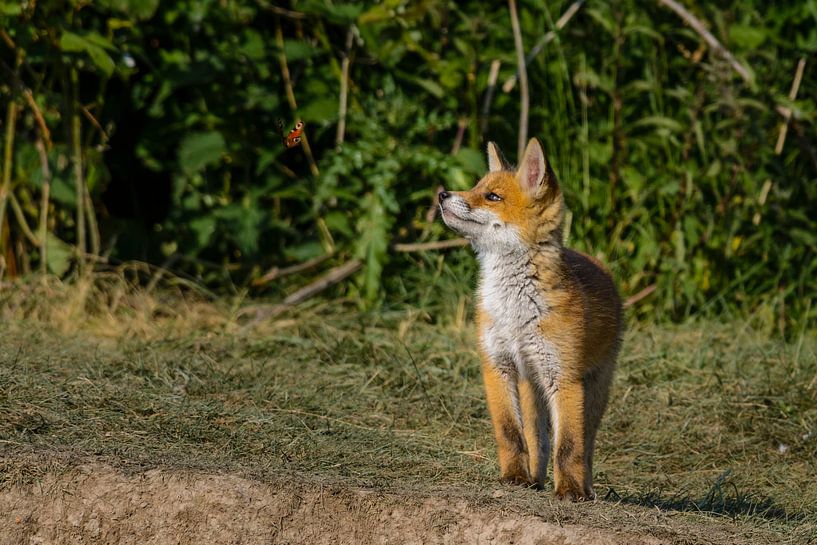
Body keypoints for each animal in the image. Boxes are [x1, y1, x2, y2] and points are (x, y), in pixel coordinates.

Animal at [438, 138, 622, 501]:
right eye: (475, 187)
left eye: (492, 197)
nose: (442, 194)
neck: (515, 311)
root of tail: (598, 263)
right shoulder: (497, 364)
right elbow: (511, 434)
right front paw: (514, 477)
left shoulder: (563, 377)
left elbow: (569, 447)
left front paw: (569, 491)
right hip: (531, 386)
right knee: (539, 442)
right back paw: (534, 479)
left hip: (593, 390)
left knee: (585, 446)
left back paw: (585, 487)